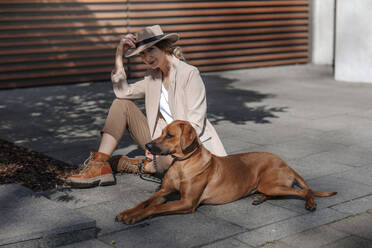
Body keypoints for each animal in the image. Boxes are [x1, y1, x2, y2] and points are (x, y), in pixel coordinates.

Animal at [116, 120, 338, 225]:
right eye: (161, 133)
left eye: (169, 135)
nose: (147, 145)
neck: (182, 164)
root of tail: (285, 162)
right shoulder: (164, 192)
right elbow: (144, 202)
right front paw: (127, 212)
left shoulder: (186, 202)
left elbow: (154, 208)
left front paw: (135, 217)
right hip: (269, 186)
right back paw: (259, 198)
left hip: (271, 183)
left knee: (304, 191)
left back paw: (310, 203)